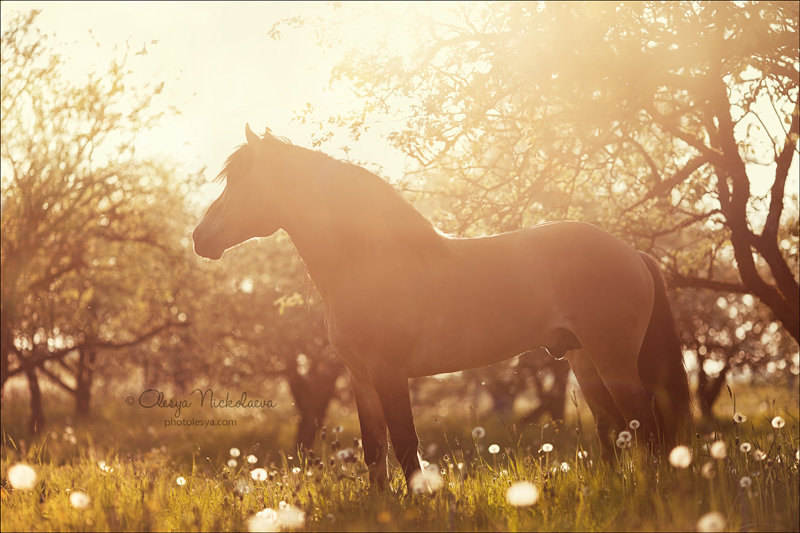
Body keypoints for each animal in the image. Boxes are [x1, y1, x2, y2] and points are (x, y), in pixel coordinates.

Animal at [191, 124, 692, 490]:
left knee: (645, 427)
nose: (199, 237)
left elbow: (405, 445)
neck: (370, 261)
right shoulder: (360, 378)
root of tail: (631, 253)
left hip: (614, 359)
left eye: (241, 182)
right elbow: (374, 449)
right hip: (584, 362)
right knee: (615, 429)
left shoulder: (390, 373)